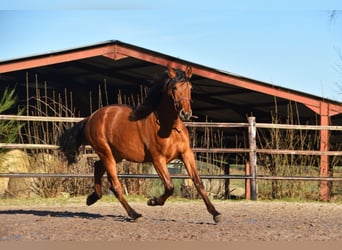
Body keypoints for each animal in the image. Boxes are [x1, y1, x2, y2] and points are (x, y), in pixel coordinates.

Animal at [58, 66, 222, 223]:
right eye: (174, 88)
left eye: (190, 87)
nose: (185, 113)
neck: (170, 128)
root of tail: (90, 118)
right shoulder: (158, 159)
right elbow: (169, 186)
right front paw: (152, 201)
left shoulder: (186, 154)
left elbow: (198, 183)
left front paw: (216, 214)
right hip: (106, 153)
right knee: (115, 186)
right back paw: (134, 214)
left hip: (116, 155)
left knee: (98, 166)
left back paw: (92, 198)